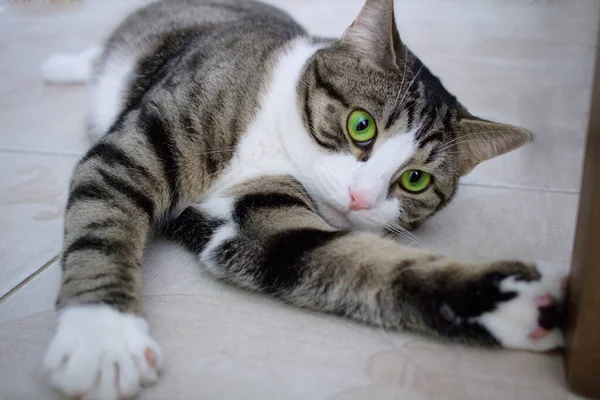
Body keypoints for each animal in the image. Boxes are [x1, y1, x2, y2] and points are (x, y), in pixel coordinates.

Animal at [41, 0, 568, 400]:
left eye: (415, 180)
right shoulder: (143, 144)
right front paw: (102, 339)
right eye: (361, 125)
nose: (360, 197)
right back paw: (62, 66)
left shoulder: (266, 219)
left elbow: (337, 255)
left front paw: (515, 302)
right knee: (98, 61)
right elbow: (105, 222)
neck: (273, 134)